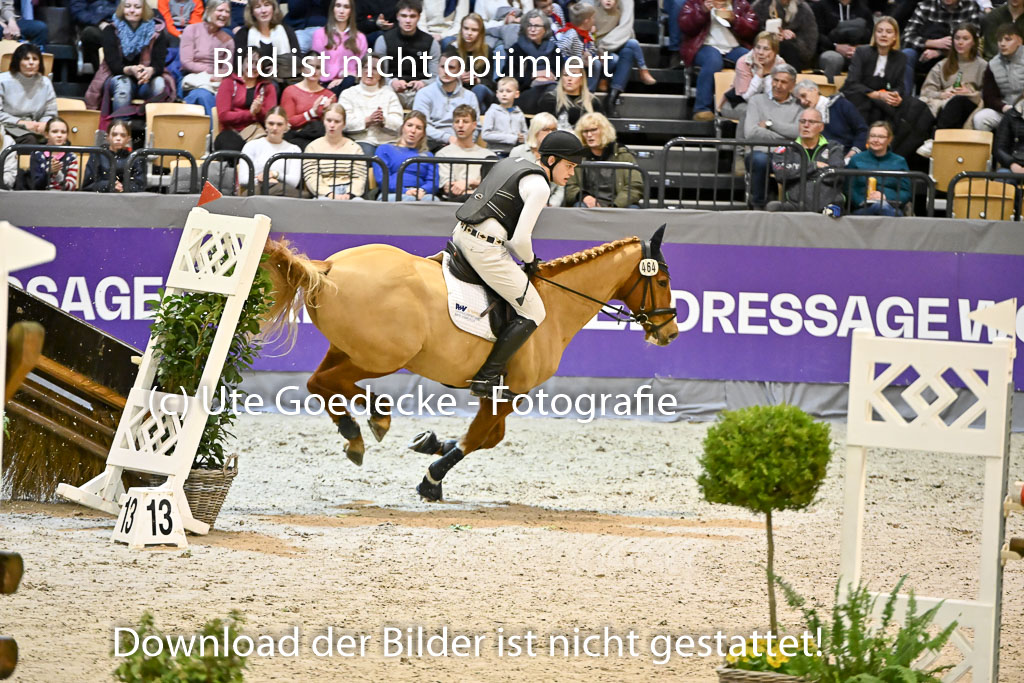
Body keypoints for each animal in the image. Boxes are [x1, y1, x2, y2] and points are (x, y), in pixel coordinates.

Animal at [260, 225, 679, 501]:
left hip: (348, 350)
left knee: (319, 383)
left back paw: (356, 432)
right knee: (331, 384)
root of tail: (329, 267)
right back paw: (375, 418)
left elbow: (490, 438)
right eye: (661, 281)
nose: (670, 332)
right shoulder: (510, 393)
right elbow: (479, 438)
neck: (556, 305)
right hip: (381, 357)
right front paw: (432, 480)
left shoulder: (498, 393)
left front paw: (430, 443)